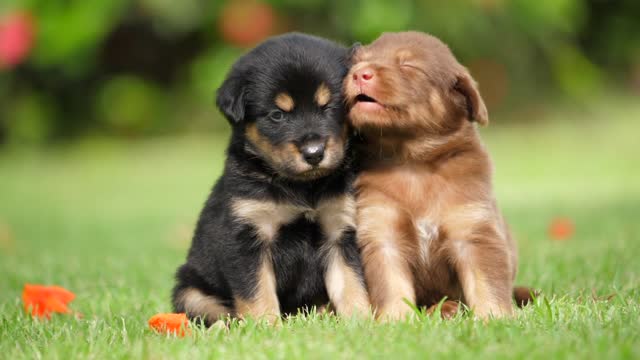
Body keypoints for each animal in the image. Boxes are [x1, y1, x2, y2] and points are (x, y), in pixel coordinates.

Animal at [172, 33, 370, 324]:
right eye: (277, 115)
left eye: (330, 107)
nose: (314, 153)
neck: (302, 187)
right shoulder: (247, 236)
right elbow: (257, 291)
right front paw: (265, 325)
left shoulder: (340, 230)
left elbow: (351, 283)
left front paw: (362, 321)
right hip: (190, 291)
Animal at [348, 32, 528, 320]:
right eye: (357, 62)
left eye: (408, 65)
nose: (359, 74)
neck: (413, 161)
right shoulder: (382, 231)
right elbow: (391, 284)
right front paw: (395, 319)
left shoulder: (473, 229)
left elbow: (486, 283)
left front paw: (494, 318)